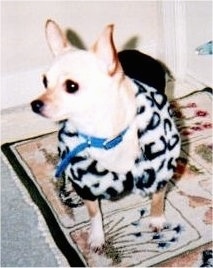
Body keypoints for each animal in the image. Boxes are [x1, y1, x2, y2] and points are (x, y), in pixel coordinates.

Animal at [31, 19, 180, 250]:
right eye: (44, 81)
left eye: (71, 86)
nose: (35, 104)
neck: (104, 135)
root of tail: (136, 52)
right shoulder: (86, 182)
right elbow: (94, 212)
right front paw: (97, 236)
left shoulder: (160, 166)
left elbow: (158, 195)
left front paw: (156, 218)